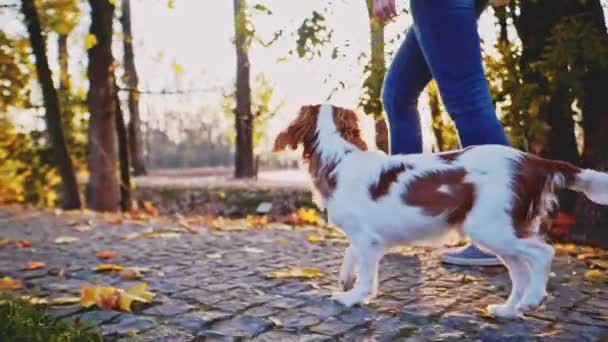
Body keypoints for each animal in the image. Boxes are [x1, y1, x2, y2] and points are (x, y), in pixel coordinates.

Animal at [274, 103, 608, 318]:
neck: (339, 157)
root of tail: (533, 161)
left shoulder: (368, 240)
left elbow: (366, 275)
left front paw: (352, 297)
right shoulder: (362, 236)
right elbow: (348, 254)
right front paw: (345, 281)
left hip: (491, 229)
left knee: (543, 253)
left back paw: (532, 301)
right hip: (499, 234)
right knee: (521, 272)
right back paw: (508, 310)